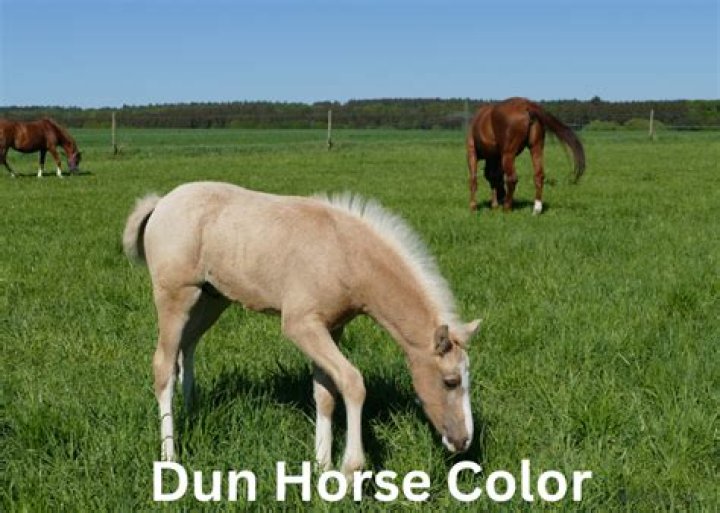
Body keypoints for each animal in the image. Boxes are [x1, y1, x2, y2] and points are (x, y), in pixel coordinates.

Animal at [123, 181, 481, 477]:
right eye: (450, 381)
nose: (463, 441)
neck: (345, 255)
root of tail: (161, 202)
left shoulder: (331, 328)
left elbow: (325, 394)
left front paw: (322, 466)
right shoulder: (300, 325)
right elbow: (352, 382)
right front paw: (350, 469)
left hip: (212, 299)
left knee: (188, 347)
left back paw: (192, 410)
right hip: (175, 296)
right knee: (163, 366)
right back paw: (170, 456)